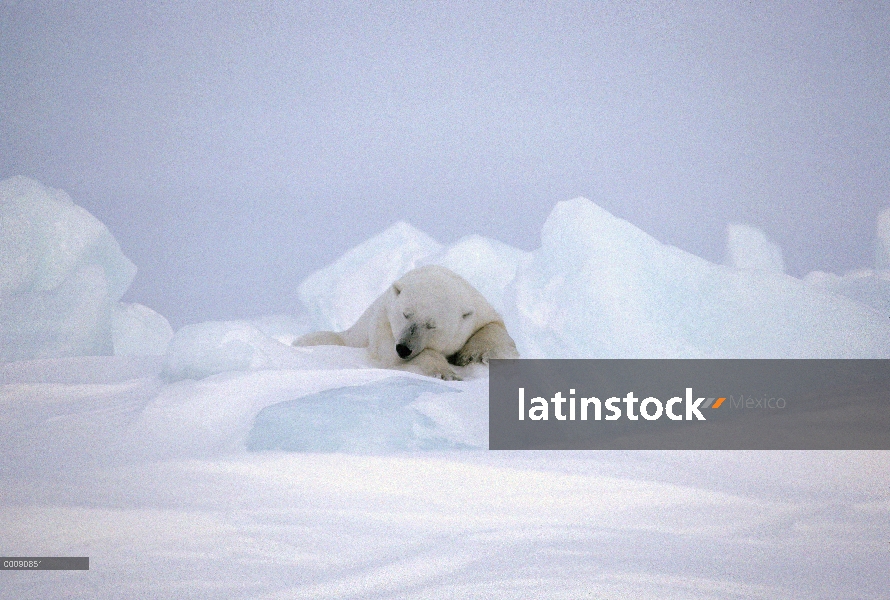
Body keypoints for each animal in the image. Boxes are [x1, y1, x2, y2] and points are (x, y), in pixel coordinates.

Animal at [294, 264, 520, 378]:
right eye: (406, 314)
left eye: (431, 325)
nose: (403, 348)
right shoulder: (384, 318)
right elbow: (389, 354)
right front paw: (445, 373)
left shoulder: (478, 308)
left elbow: (494, 325)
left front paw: (475, 355)